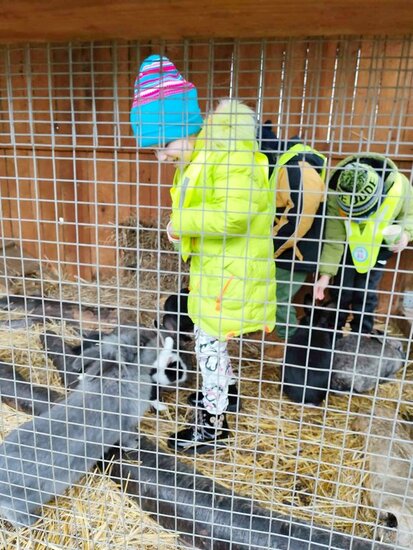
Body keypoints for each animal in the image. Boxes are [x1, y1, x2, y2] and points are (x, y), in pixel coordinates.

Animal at [0, 328, 180, 528]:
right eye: (141, 344)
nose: (159, 334)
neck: (116, 376)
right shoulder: (126, 423)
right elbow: (127, 436)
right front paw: (134, 444)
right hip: (23, 499)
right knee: (14, 513)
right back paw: (32, 521)